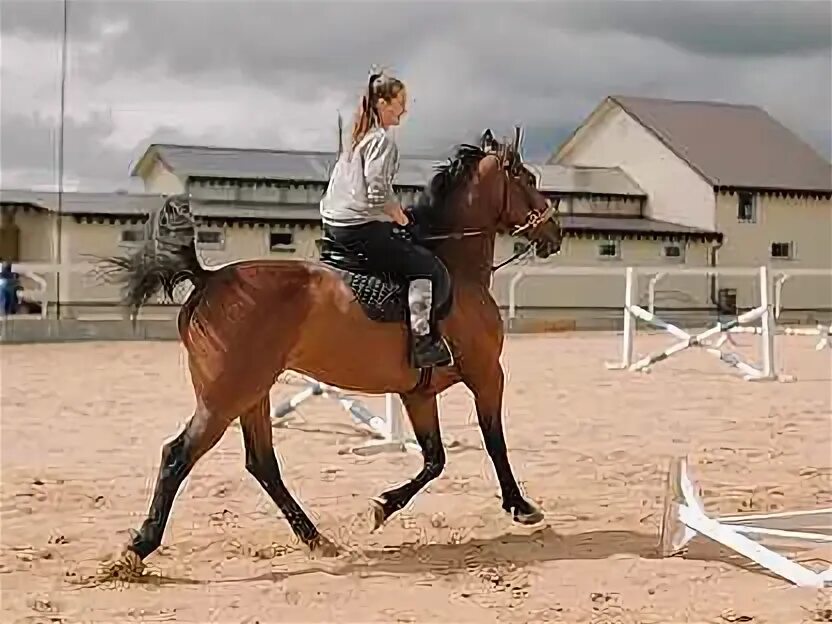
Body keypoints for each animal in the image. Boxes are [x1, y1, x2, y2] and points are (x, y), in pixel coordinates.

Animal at [99, 128, 564, 580]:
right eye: (528, 179)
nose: (555, 234)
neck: (457, 268)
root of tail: (208, 278)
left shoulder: (418, 393)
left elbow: (434, 459)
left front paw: (382, 507)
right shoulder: (487, 374)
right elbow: (493, 441)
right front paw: (520, 506)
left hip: (253, 394)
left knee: (262, 463)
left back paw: (317, 540)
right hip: (224, 399)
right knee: (178, 455)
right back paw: (136, 550)